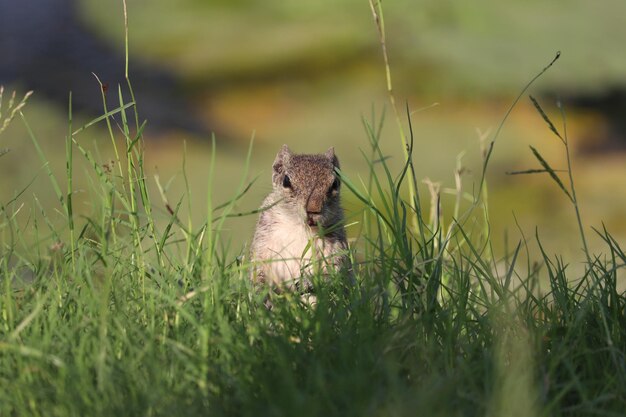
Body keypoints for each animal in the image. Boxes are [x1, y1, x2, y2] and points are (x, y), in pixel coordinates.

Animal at [251, 145, 354, 294]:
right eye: (286, 181)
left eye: (335, 184)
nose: (313, 209)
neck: (300, 227)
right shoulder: (263, 241)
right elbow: (258, 268)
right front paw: (261, 290)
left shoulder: (337, 246)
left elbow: (334, 274)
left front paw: (306, 282)